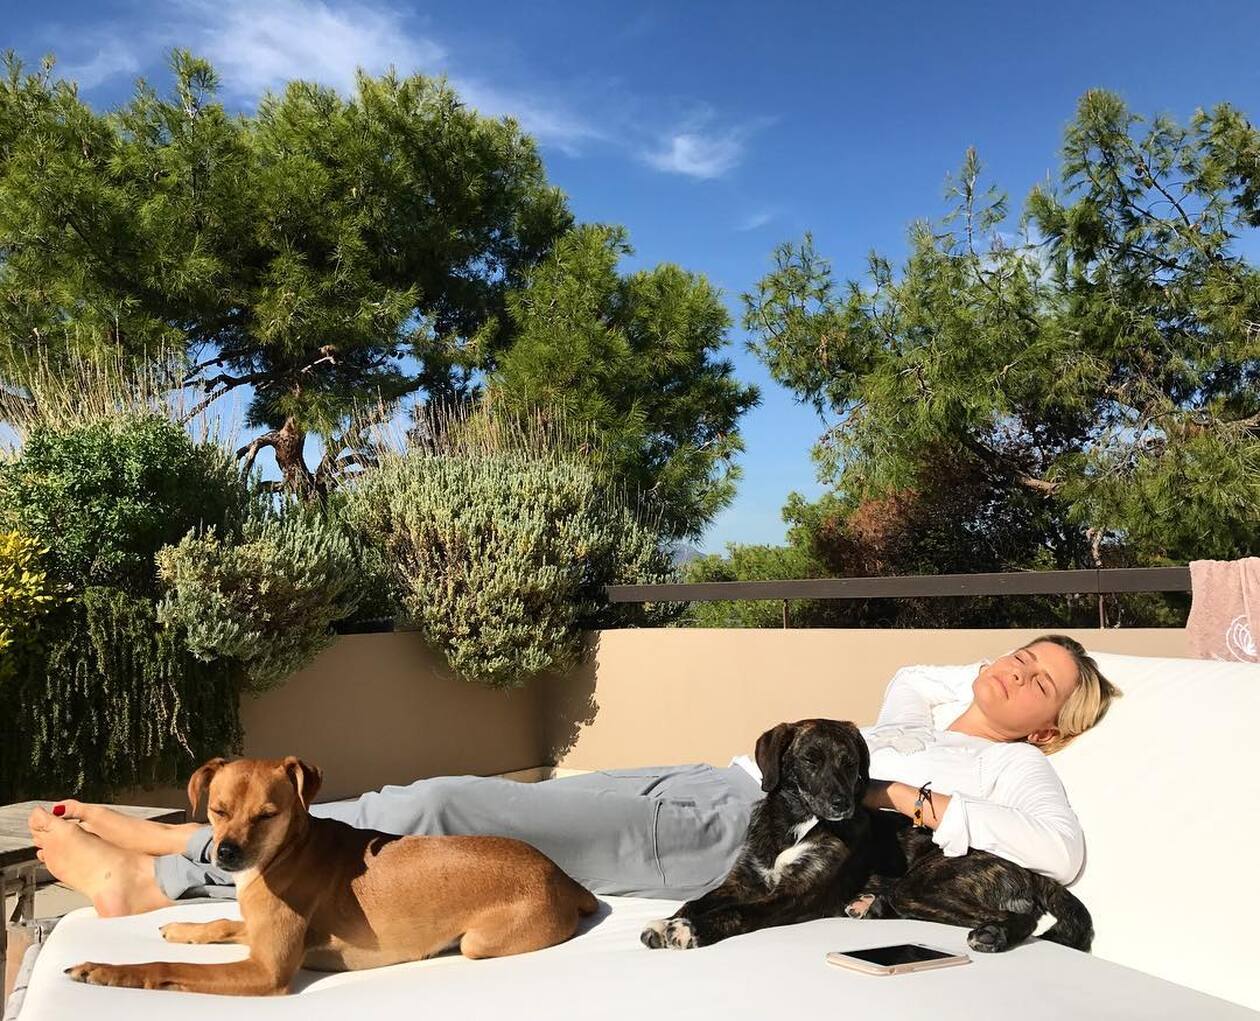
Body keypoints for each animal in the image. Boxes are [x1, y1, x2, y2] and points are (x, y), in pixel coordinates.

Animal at [66, 756, 598, 995]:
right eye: (217, 810)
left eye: (267, 815)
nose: (225, 854)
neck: (284, 853)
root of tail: (563, 876)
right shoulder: (258, 934)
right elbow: (221, 923)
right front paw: (183, 927)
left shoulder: (267, 970)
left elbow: (166, 967)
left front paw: (106, 970)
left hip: (479, 942)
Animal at [641, 719, 874, 950]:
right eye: (810, 760)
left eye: (851, 763)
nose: (842, 804)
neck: (795, 825)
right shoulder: (742, 883)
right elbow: (696, 901)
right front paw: (666, 922)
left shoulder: (796, 895)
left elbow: (736, 910)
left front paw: (688, 928)